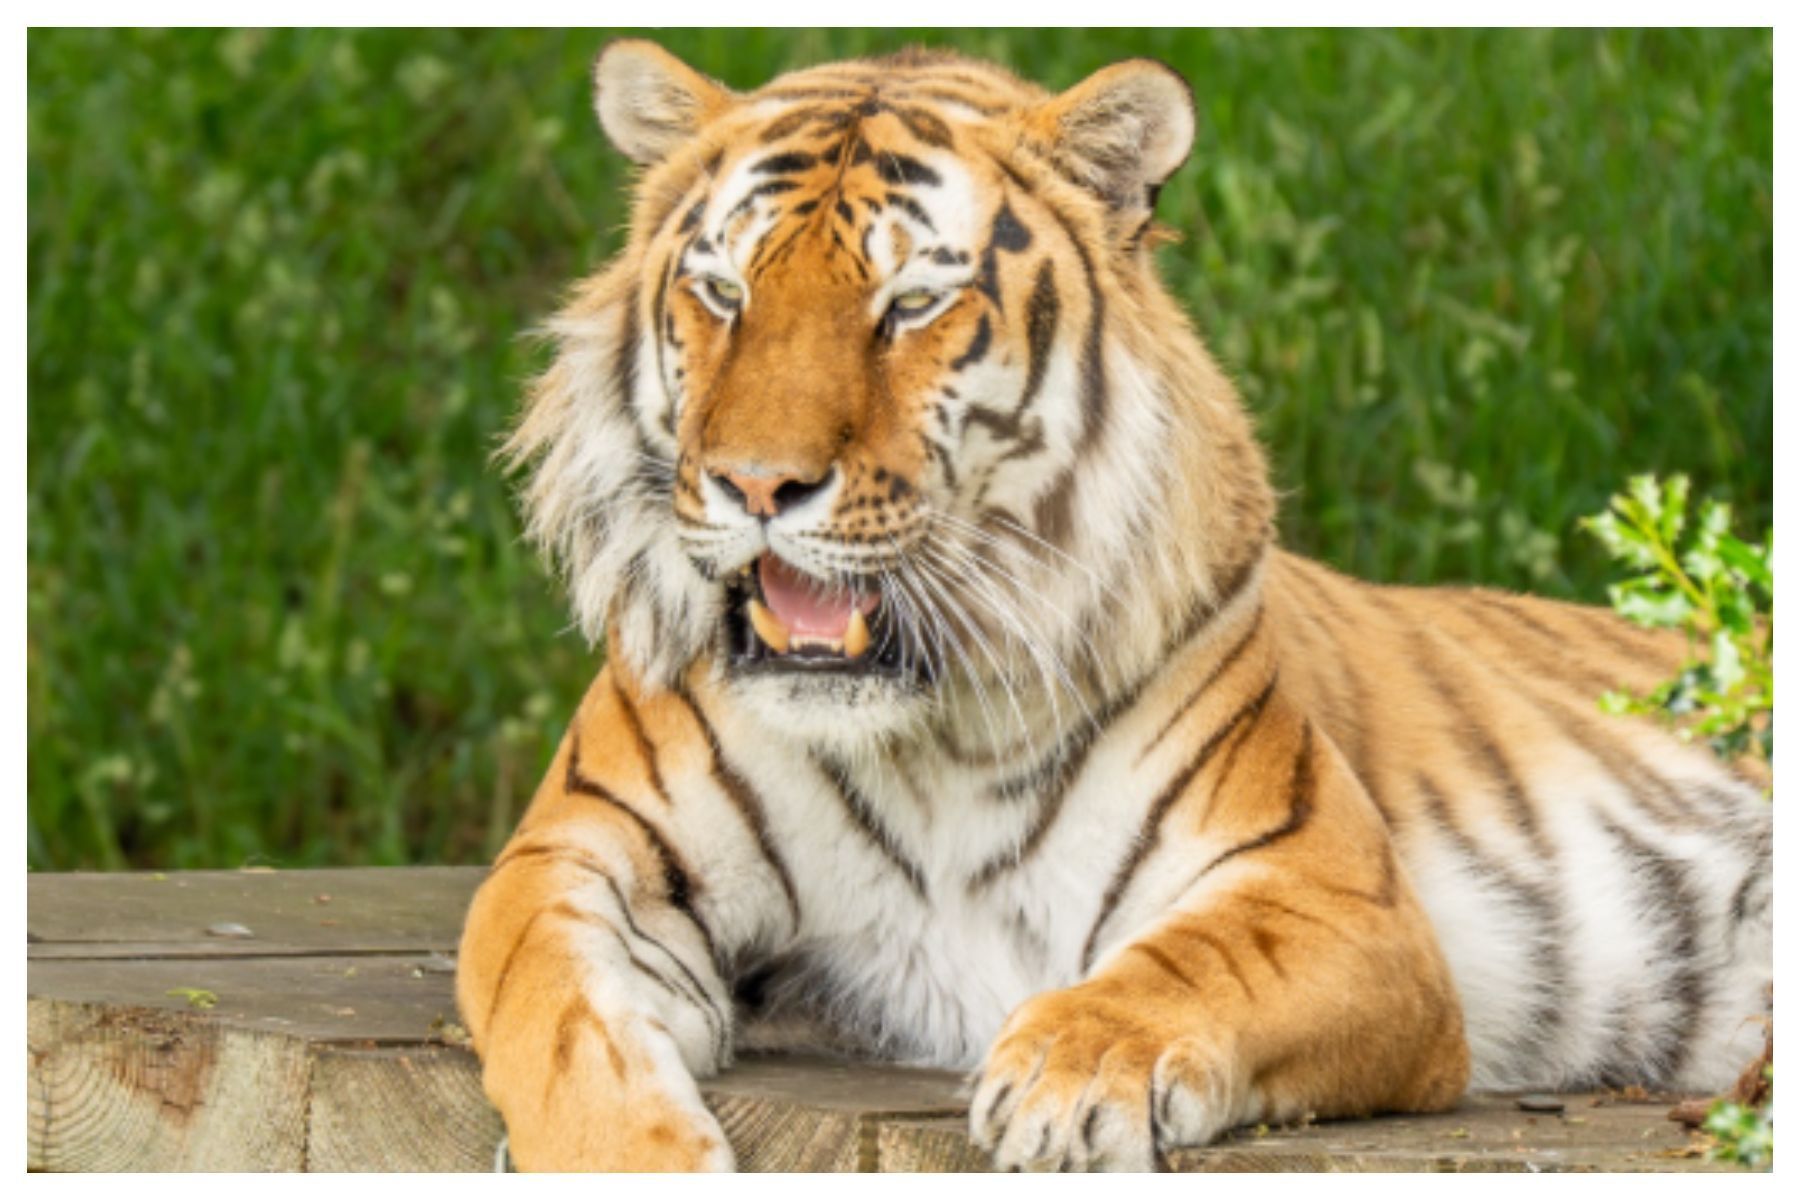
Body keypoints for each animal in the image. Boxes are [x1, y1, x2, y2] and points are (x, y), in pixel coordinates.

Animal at [455, 40, 1773, 1172]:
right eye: (724, 291)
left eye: (911, 305)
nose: (757, 484)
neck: (922, 733)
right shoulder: (577, 852)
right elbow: (545, 1002)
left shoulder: (1329, 890)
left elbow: (1193, 963)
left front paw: (1070, 1077)